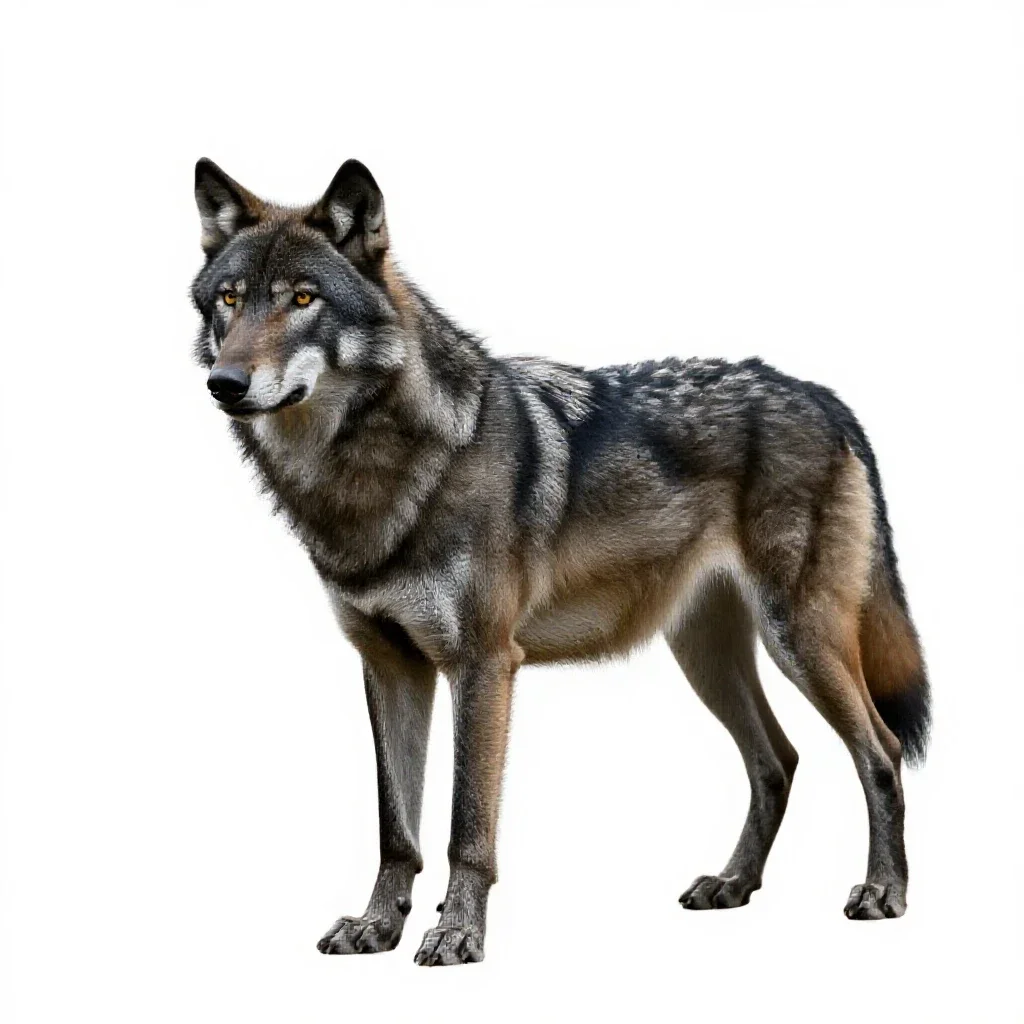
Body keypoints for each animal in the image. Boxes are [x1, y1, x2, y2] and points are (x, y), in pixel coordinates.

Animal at [191, 158, 930, 966]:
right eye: (230, 299)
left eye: (303, 299)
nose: (225, 384)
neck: (374, 474)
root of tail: (821, 395)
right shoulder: (390, 667)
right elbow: (397, 828)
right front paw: (378, 926)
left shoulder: (483, 663)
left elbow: (466, 827)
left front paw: (457, 933)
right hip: (707, 655)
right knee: (778, 761)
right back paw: (732, 884)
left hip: (799, 641)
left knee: (881, 751)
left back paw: (883, 892)